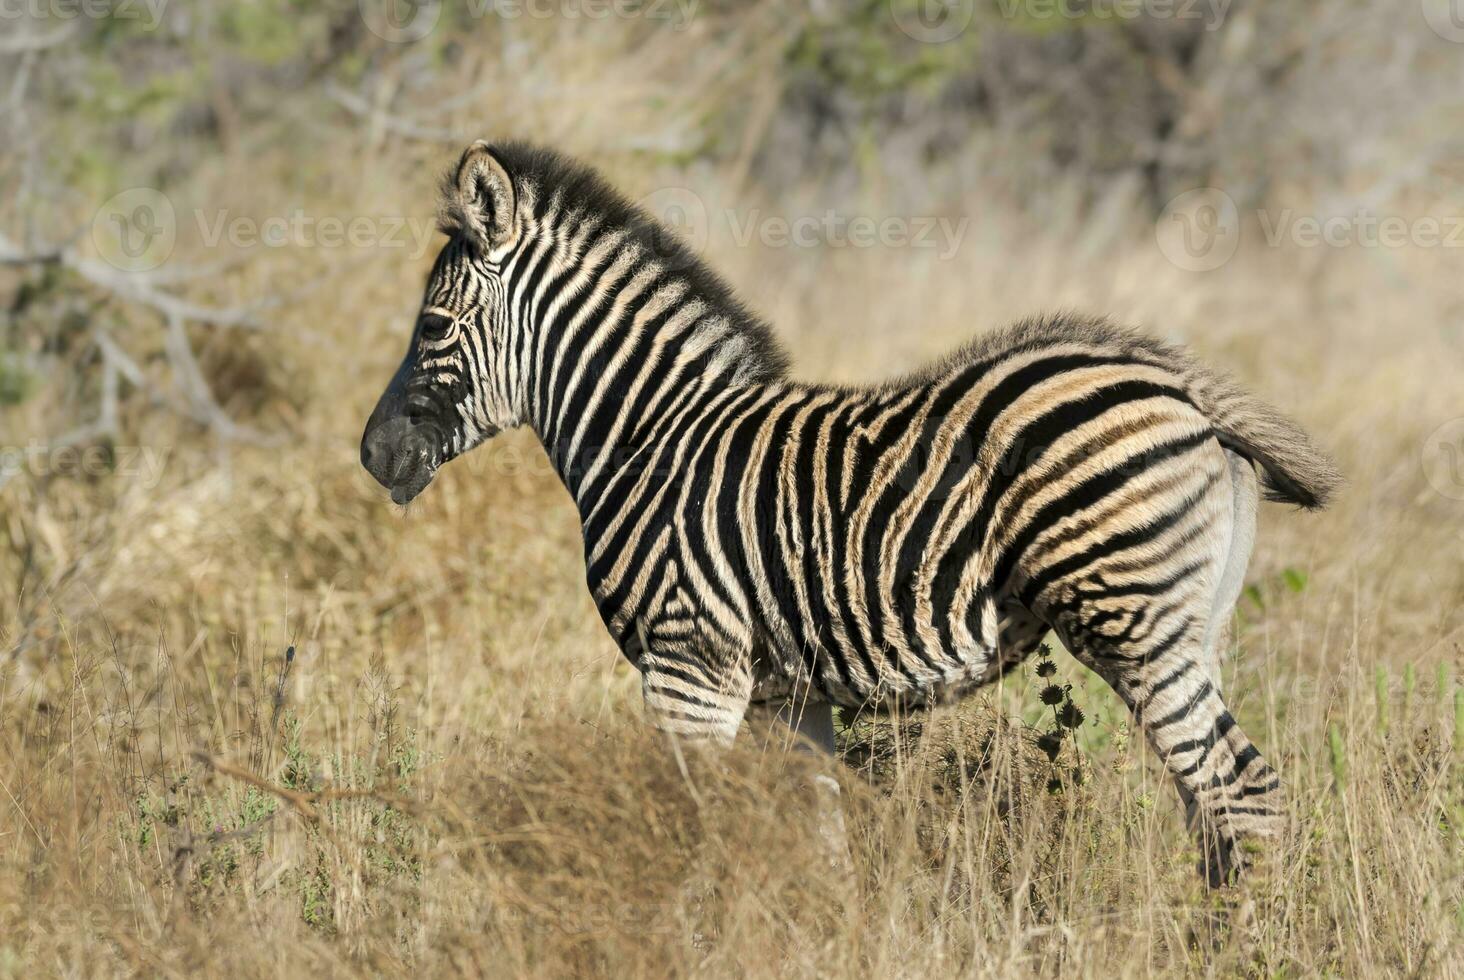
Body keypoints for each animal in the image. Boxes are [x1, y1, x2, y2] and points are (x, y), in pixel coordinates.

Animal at [363, 139, 1341, 884]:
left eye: (433, 328)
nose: (371, 455)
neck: (649, 434)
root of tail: (1180, 384)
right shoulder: (786, 692)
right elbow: (819, 840)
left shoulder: (687, 665)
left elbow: (693, 832)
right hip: (1193, 625)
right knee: (1217, 807)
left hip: (1134, 626)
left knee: (1242, 796)